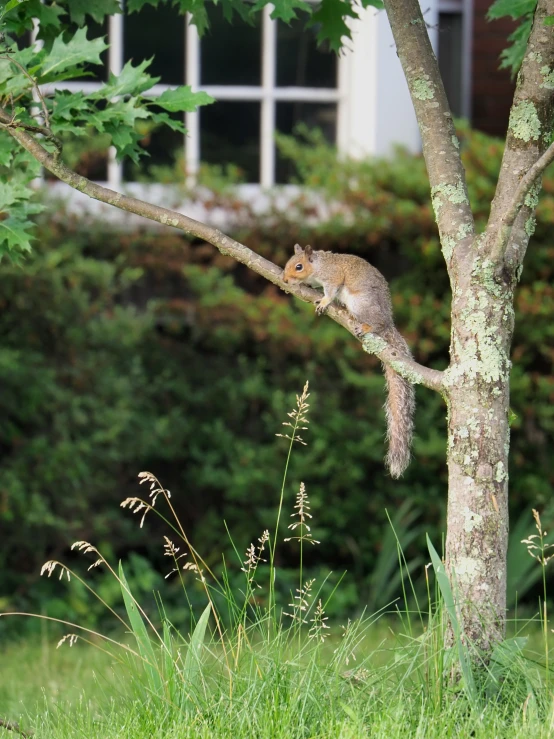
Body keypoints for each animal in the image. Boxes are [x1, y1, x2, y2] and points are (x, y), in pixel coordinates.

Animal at [282, 244, 412, 480]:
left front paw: (324, 301)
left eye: (299, 266)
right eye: (289, 263)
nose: (285, 280)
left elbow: (331, 290)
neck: (320, 265)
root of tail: (389, 320)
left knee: (378, 323)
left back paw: (368, 326)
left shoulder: (333, 277)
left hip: (362, 303)